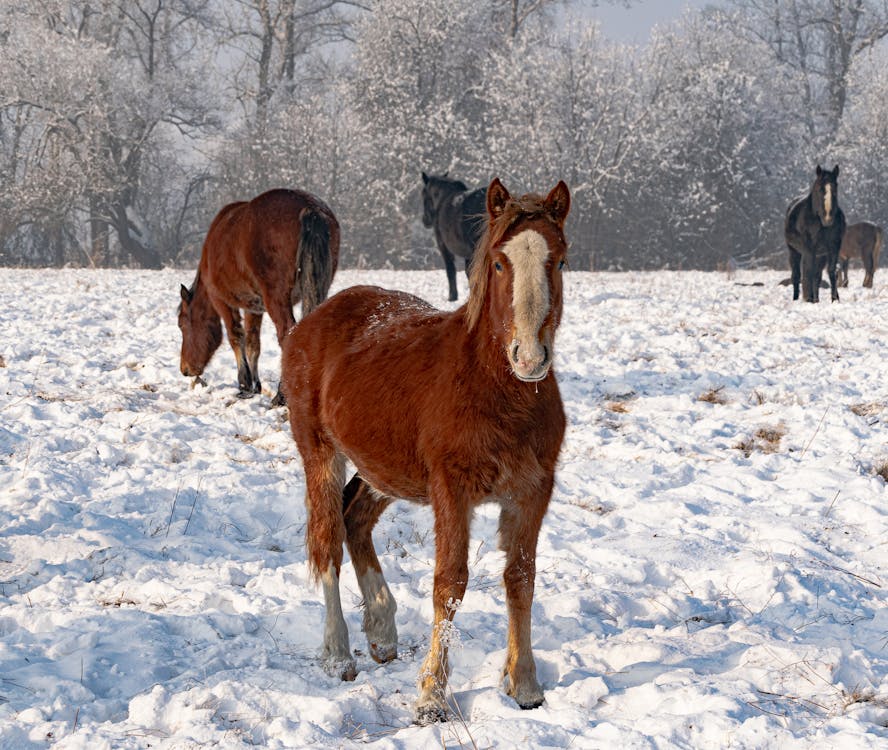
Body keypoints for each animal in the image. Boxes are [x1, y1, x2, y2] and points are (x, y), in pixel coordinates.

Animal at [179, 188, 338, 406]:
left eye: (182, 325)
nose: (185, 369)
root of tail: (311, 208)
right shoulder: (253, 307)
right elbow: (253, 343)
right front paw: (255, 386)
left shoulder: (222, 301)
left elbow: (236, 336)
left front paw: (244, 384)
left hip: (276, 299)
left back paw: (281, 396)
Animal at [422, 172, 486, 302]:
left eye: (424, 195)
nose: (425, 220)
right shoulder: (468, 254)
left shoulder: (443, 246)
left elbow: (451, 270)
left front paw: (452, 296)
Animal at [784, 166, 848, 304]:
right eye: (819, 189)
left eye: (835, 188)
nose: (828, 218)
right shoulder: (809, 249)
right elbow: (808, 272)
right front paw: (809, 299)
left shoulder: (833, 248)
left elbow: (831, 271)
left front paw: (835, 299)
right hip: (794, 251)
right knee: (796, 275)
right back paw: (797, 299)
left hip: (821, 255)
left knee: (817, 275)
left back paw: (816, 299)